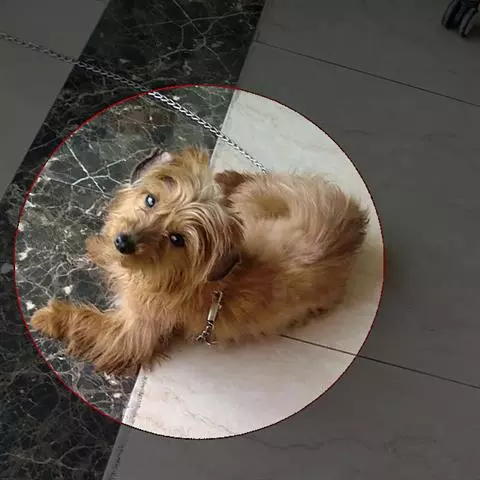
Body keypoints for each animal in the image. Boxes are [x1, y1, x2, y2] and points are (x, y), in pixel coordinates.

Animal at [31, 146, 368, 375]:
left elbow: (86, 321)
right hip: (264, 198)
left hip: (260, 202)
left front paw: (50, 317)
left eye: (177, 239)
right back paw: (226, 177)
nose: (123, 242)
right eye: (150, 200)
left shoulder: (131, 334)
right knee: (256, 179)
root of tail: (353, 224)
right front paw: (102, 249)